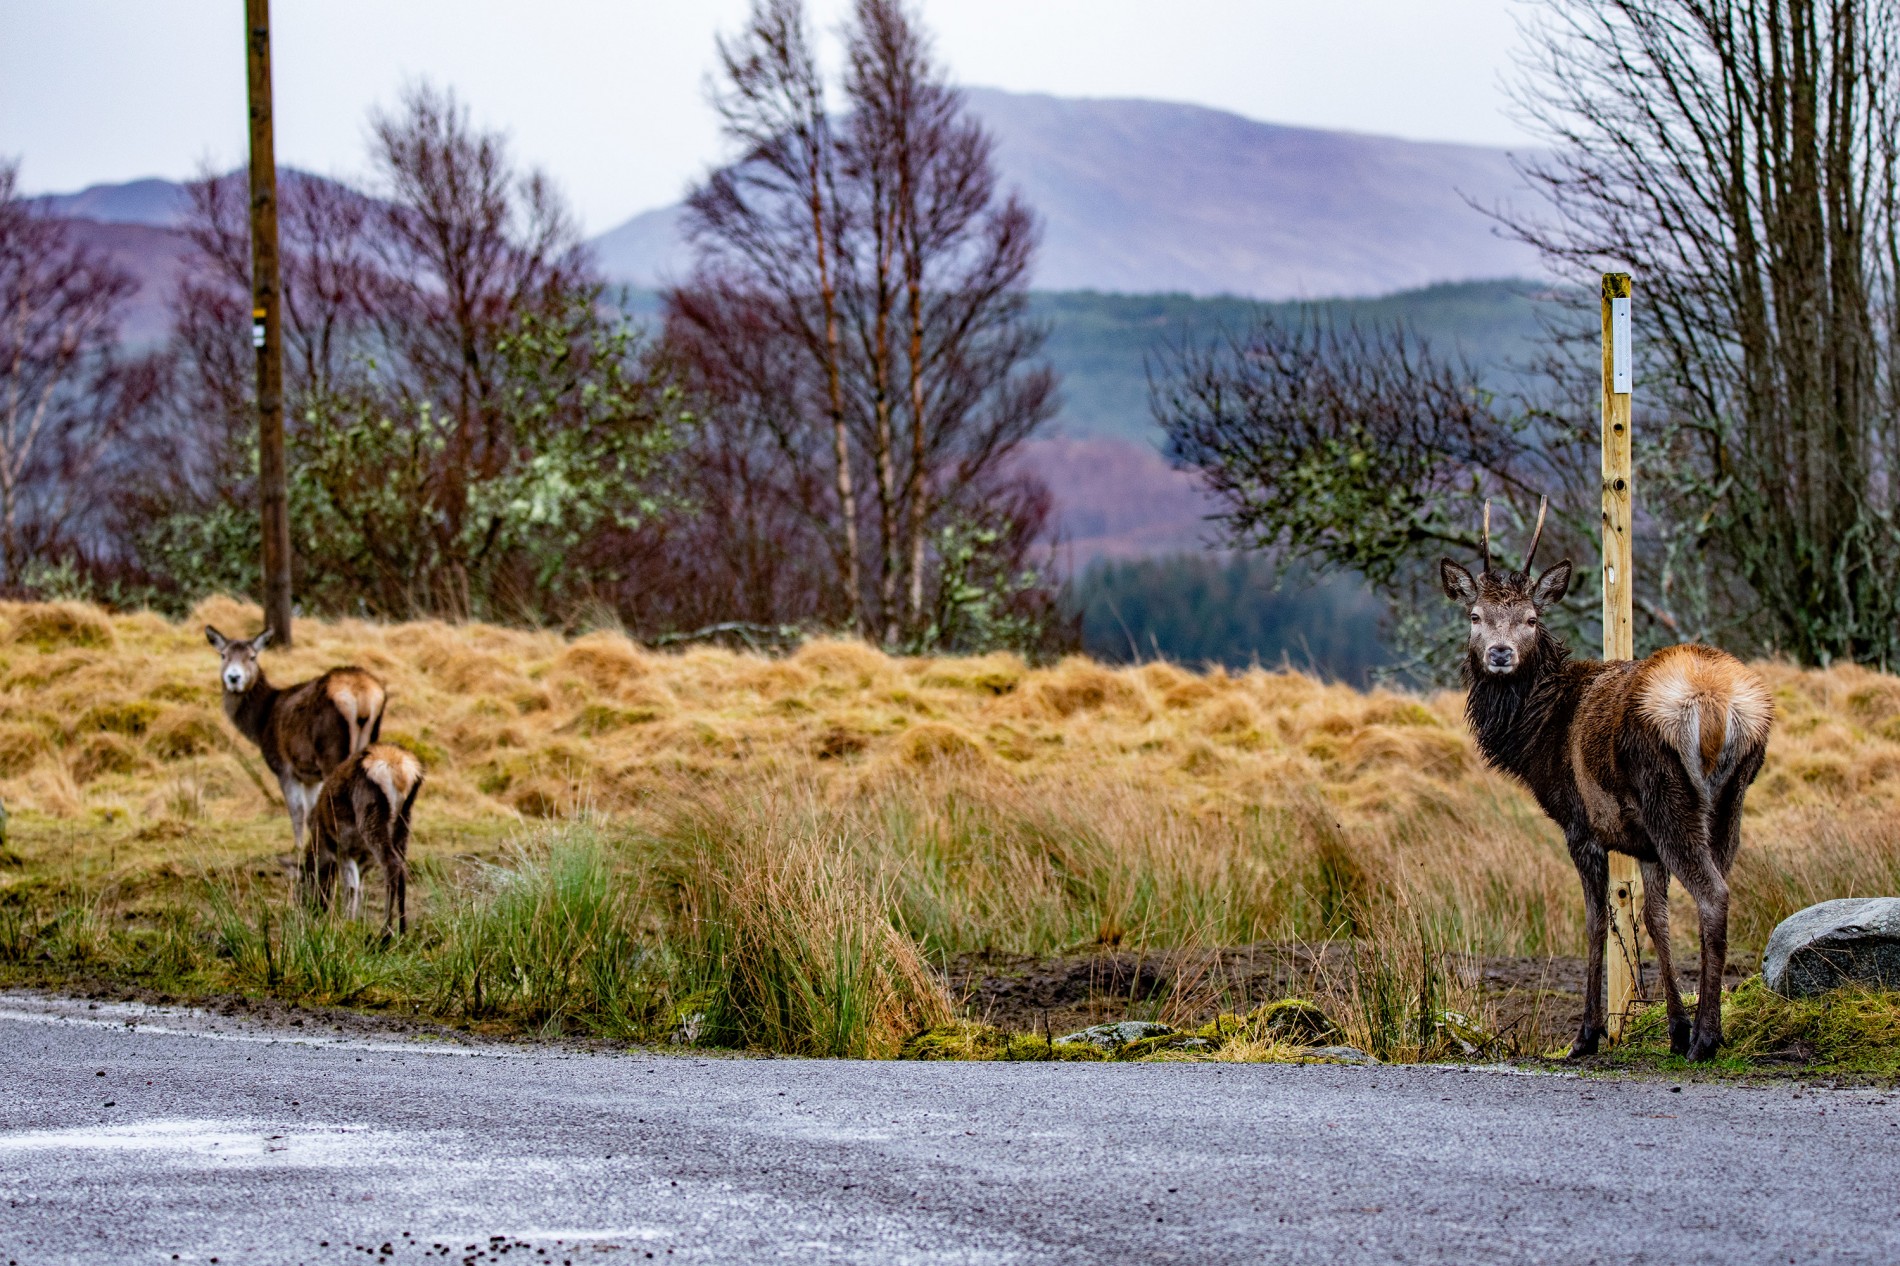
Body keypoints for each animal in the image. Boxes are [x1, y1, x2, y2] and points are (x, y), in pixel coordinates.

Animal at [206, 623, 387, 851]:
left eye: (252, 656)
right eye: (223, 655)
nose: (233, 678)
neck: (260, 724)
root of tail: (361, 695)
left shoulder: (283, 766)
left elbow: (297, 810)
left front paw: (299, 847)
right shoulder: (309, 775)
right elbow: (310, 812)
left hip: (330, 750)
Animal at [302, 741, 421, 935]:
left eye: (303, 879)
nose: (311, 910)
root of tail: (400, 770)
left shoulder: (342, 849)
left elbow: (350, 888)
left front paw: (345, 926)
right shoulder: (363, 858)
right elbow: (359, 888)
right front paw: (355, 923)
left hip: (370, 815)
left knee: (391, 864)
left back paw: (385, 934)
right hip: (404, 820)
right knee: (402, 868)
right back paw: (403, 931)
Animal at [1444, 501, 1770, 1056]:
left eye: (1531, 618)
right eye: (1476, 616)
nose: (1500, 653)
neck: (1537, 736)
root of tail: (1717, 706)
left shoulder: (1581, 824)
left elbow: (1598, 921)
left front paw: (1587, 1035)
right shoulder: (1643, 844)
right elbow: (1654, 919)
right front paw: (1673, 1027)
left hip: (1668, 794)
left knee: (1713, 895)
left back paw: (1707, 1038)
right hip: (1730, 801)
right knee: (1720, 887)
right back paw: (1707, 1031)